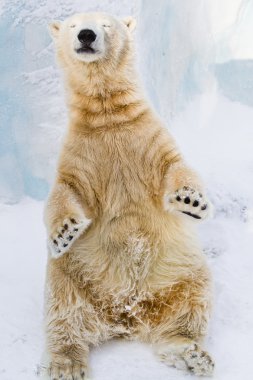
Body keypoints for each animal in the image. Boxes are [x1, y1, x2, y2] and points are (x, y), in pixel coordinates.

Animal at [44, 11, 214, 380]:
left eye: (106, 24)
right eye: (72, 24)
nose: (87, 34)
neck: (108, 113)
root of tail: (126, 316)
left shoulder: (147, 138)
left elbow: (174, 166)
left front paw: (191, 201)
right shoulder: (82, 152)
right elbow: (65, 189)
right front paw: (64, 232)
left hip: (180, 272)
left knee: (192, 301)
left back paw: (189, 352)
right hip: (73, 275)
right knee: (63, 309)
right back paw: (67, 364)